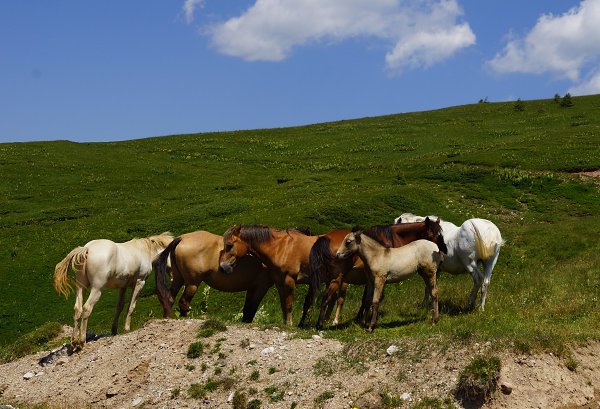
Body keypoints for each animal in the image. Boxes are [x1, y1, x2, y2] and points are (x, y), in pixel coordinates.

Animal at [302, 218, 447, 329]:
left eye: (348, 242)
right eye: (434, 234)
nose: (338, 255)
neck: (377, 254)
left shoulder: (379, 280)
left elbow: (375, 300)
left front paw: (370, 326)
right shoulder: (372, 281)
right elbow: (369, 300)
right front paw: (365, 323)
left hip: (428, 273)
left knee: (434, 292)